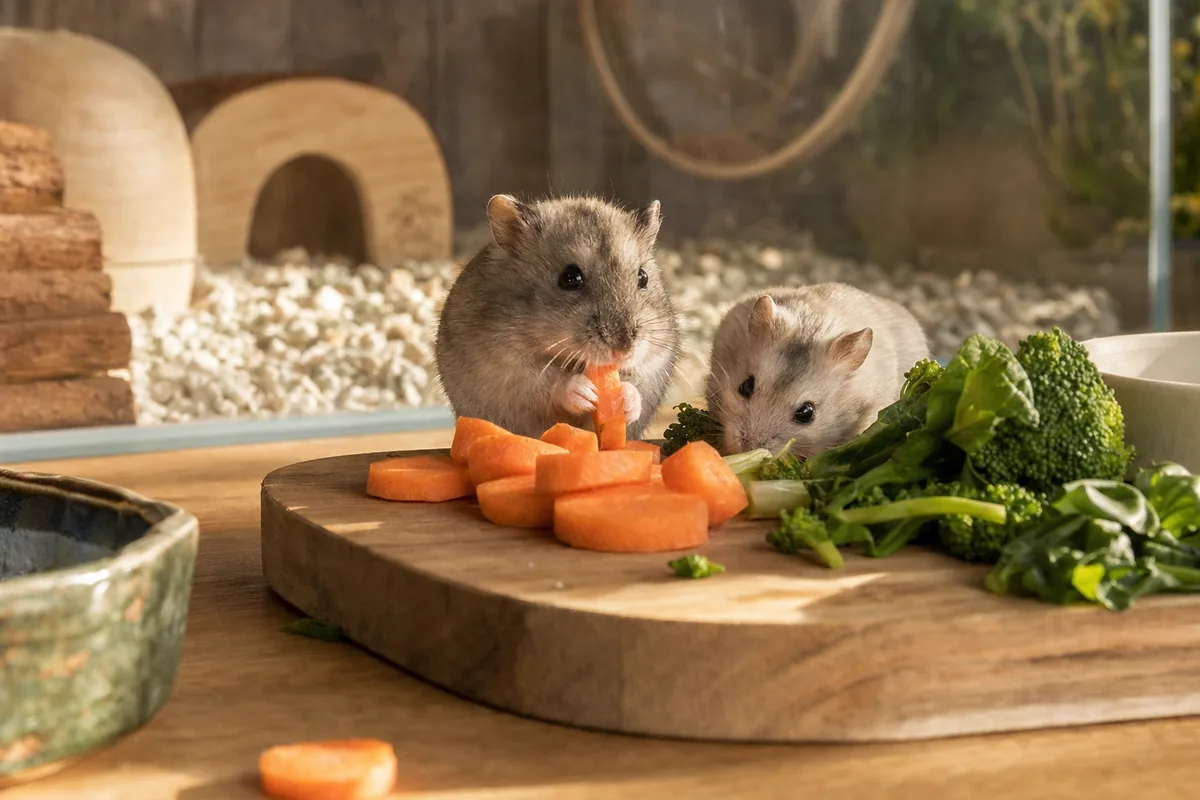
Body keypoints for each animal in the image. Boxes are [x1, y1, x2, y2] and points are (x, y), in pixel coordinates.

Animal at [434, 193, 681, 440]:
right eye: (570, 278)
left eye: (643, 277)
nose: (623, 350)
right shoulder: (506, 367)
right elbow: (548, 381)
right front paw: (586, 392)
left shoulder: (656, 361)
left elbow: (637, 381)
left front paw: (624, 398)